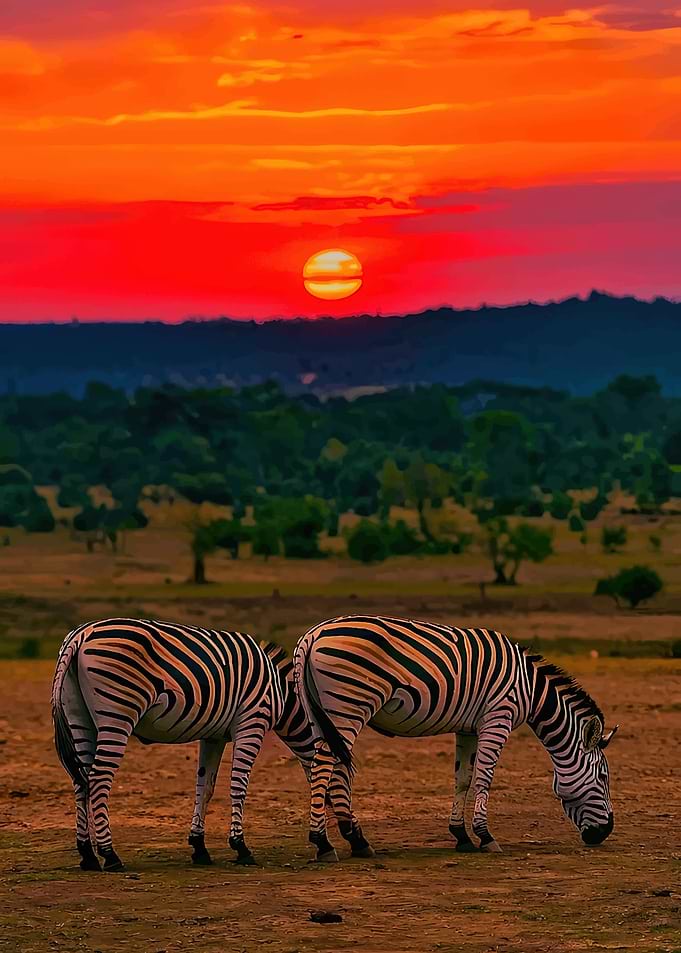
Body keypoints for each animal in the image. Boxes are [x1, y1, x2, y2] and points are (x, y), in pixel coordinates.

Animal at [52, 618, 318, 872]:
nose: (325, 846)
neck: (280, 690)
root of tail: (81, 634)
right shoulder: (252, 722)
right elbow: (238, 785)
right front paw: (241, 847)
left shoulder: (214, 736)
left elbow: (205, 787)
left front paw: (199, 848)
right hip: (117, 710)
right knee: (97, 779)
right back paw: (110, 855)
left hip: (78, 716)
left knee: (81, 780)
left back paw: (87, 855)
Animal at [293, 615, 618, 861]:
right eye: (603, 776)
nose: (605, 832)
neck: (529, 688)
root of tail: (312, 634)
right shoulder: (497, 718)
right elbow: (484, 778)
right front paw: (485, 836)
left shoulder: (468, 728)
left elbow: (463, 778)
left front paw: (461, 835)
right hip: (348, 706)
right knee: (325, 767)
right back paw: (324, 843)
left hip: (322, 714)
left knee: (328, 767)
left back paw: (357, 840)